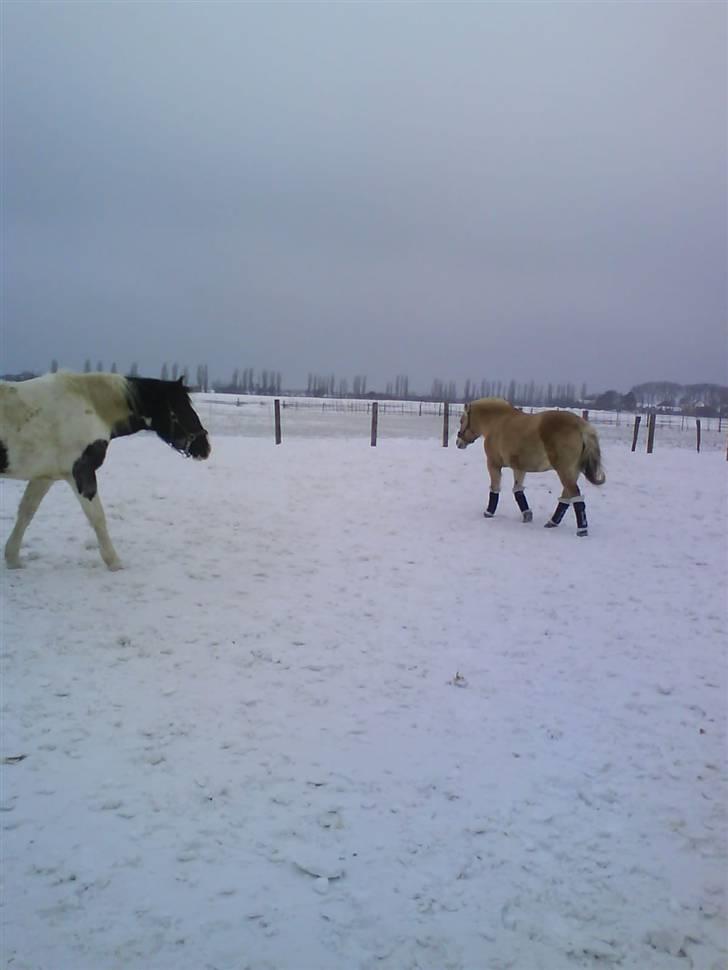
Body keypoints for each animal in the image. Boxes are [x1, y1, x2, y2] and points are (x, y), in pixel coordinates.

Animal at [0, 370, 210, 568]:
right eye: (181, 409)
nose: (205, 448)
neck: (91, 408)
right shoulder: (80, 474)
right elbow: (97, 518)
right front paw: (114, 561)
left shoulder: (44, 476)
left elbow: (26, 512)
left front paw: (13, 558)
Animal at [458, 396, 604, 536]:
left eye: (461, 420)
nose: (458, 442)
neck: (497, 422)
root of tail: (581, 427)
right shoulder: (519, 468)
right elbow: (518, 490)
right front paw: (527, 515)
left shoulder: (493, 464)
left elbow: (495, 489)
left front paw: (488, 512)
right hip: (573, 472)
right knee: (567, 496)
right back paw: (552, 522)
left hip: (564, 471)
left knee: (575, 495)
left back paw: (582, 530)